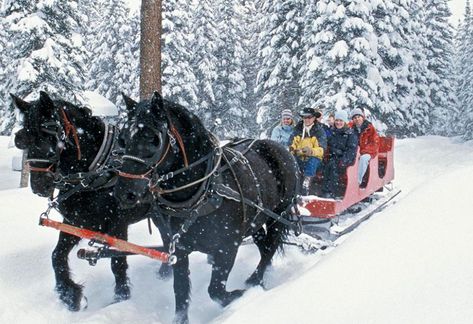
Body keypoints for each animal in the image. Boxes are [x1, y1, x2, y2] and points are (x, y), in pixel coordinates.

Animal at [10, 91, 159, 312]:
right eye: (22, 139)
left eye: (49, 135)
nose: (38, 186)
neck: (96, 171)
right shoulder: (76, 222)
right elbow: (57, 256)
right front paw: (70, 295)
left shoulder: (118, 224)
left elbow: (117, 263)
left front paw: (121, 299)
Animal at [114, 92, 298, 322]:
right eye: (122, 139)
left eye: (152, 138)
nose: (124, 193)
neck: (203, 193)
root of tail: (281, 149)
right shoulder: (180, 250)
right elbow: (180, 292)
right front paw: (180, 319)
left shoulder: (227, 247)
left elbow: (216, 290)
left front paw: (239, 295)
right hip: (256, 219)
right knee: (264, 245)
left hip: (278, 214)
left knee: (269, 248)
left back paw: (254, 281)